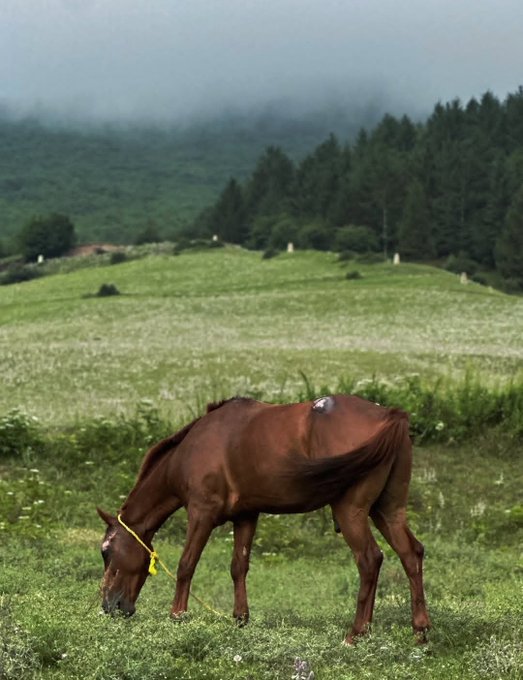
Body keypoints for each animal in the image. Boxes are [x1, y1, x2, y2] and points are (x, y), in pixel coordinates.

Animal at [97, 394, 431, 644]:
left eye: (106, 552)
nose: (109, 607)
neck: (193, 447)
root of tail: (390, 416)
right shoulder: (246, 516)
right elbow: (238, 567)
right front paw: (240, 619)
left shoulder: (201, 513)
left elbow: (186, 565)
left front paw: (177, 615)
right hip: (387, 511)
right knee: (410, 554)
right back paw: (419, 631)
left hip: (351, 512)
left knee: (370, 560)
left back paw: (356, 633)